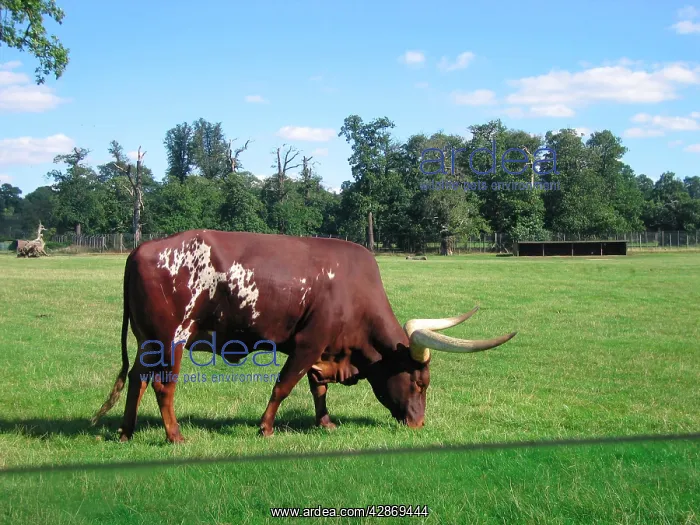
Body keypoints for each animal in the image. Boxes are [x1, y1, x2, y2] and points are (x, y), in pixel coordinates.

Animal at [91, 230, 516, 442]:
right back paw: (176, 436)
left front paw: (325, 423)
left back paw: (126, 432)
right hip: (172, 339)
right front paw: (265, 427)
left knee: (137, 380)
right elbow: (284, 385)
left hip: (147, 342)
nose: (418, 424)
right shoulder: (308, 344)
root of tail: (140, 249)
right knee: (163, 386)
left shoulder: (323, 350)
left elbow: (318, 388)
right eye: (418, 382)